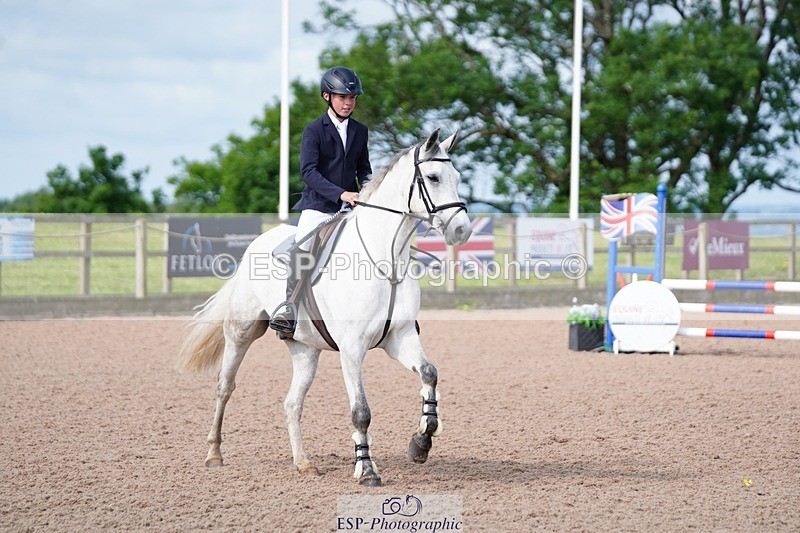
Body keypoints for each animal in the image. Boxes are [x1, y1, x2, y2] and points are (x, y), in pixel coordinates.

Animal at [176, 129, 472, 486]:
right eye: (433, 177)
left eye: (458, 177)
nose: (462, 231)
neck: (385, 259)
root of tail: (255, 245)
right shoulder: (352, 348)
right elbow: (361, 412)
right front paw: (367, 470)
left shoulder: (399, 337)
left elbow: (429, 373)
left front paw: (421, 442)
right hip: (241, 332)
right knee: (225, 387)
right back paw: (214, 454)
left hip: (305, 350)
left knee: (292, 404)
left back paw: (304, 463)